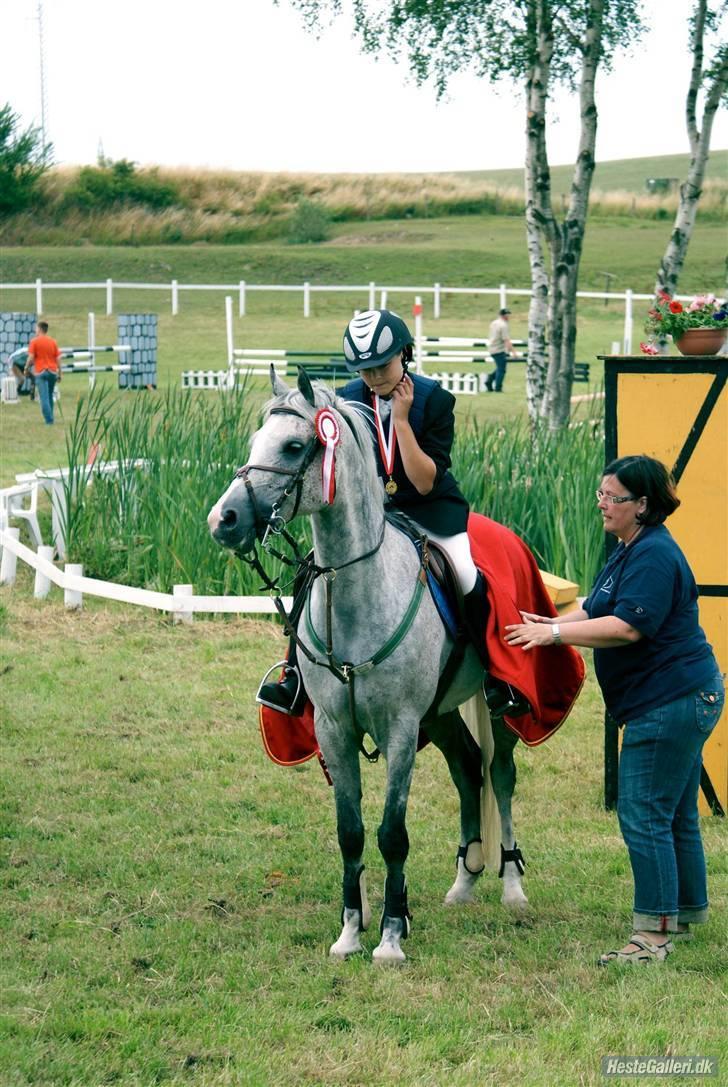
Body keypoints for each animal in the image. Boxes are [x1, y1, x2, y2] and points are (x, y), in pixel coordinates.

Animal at [208, 371, 528, 960]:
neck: (360, 588)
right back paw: (465, 879)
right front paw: (350, 932)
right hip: (440, 714)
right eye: (255, 443)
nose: (225, 521)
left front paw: (392, 935)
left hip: (493, 710)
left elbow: (391, 834)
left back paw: (512, 885)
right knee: (468, 769)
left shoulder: (400, 730)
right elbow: (351, 833)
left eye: (294, 447)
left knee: (499, 774)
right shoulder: (334, 729)